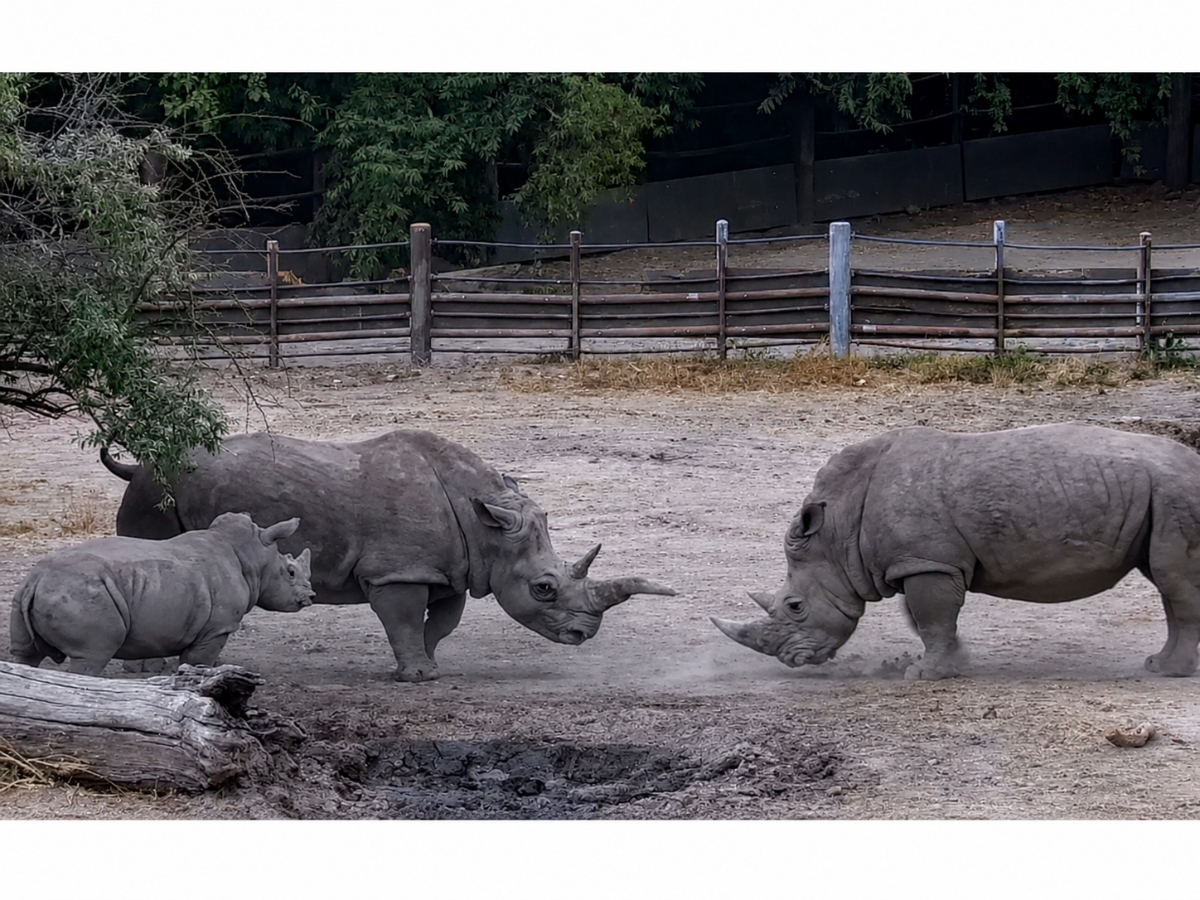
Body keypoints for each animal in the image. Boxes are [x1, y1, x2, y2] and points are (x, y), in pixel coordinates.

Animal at [10, 512, 314, 676]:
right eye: (290, 572)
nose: (310, 598)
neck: (252, 557)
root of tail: (35, 580)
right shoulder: (216, 629)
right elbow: (198, 664)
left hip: (30, 592)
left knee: (25, 656)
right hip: (81, 596)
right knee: (91, 657)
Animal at [100, 429, 675, 682]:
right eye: (544, 588)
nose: (583, 635)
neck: (486, 526)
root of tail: (138, 465)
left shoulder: (451, 568)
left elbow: (440, 623)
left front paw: (427, 667)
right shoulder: (397, 571)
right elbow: (400, 619)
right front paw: (417, 678)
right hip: (155, 490)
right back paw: (148, 669)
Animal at [713, 423, 1200, 679]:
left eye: (795, 606)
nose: (793, 661)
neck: (838, 530)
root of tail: (1193, 463)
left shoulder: (927, 562)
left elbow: (931, 617)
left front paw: (923, 675)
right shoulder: (918, 561)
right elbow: (924, 619)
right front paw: (955, 662)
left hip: (1176, 493)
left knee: (1174, 582)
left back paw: (1169, 672)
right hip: (1162, 498)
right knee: (1168, 581)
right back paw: (1159, 666)